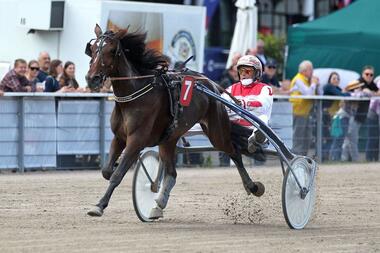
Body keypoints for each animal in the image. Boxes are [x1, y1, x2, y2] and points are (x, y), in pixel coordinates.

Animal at [85, 24, 264, 218]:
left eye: (111, 50)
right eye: (92, 49)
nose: (92, 78)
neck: (134, 95)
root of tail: (211, 83)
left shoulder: (136, 140)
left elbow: (117, 175)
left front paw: (99, 205)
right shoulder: (119, 138)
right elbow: (106, 171)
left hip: (216, 132)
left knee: (235, 152)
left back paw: (253, 186)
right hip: (169, 139)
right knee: (172, 173)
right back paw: (158, 205)